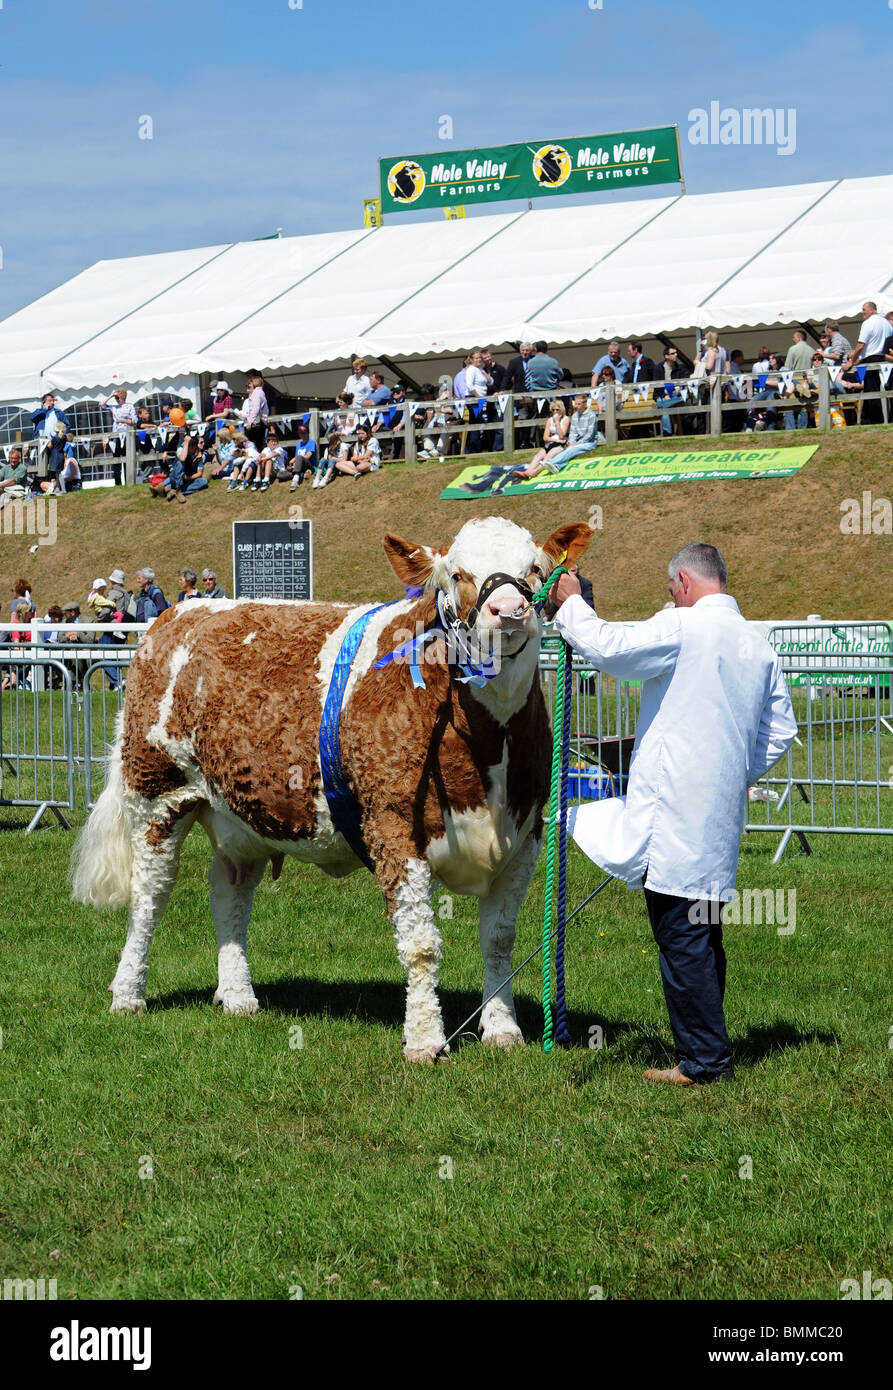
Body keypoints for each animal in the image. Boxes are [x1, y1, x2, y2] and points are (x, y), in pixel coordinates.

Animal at [71, 516, 592, 1061]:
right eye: (456, 574)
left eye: (534, 569)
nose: (507, 610)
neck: (487, 748)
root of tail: (178, 612)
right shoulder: (392, 826)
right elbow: (421, 945)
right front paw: (425, 1040)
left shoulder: (525, 836)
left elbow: (499, 939)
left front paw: (503, 1030)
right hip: (156, 794)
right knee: (149, 895)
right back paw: (128, 994)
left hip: (240, 814)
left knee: (229, 893)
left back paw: (237, 996)